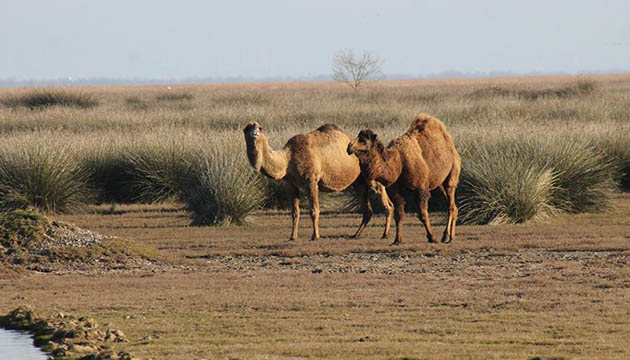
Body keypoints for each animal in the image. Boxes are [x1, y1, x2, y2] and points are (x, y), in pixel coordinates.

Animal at [243, 121, 396, 242]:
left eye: (260, 128)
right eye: (246, 128)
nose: (254, 134)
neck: (288, 158)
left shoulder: (311, 180)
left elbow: (314, 210)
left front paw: (315, 236)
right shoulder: (291, 184)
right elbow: (295, 212)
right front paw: (293, 237)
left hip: (372, 177)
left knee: (387, 203)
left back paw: (385, 234)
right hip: (359, 183)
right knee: (367, 210)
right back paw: (356, 235)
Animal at [348, 114, 462, 246]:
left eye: (363, 140)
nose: (349, 147)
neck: (398, 162)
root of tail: (452, 147)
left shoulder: (421, 188)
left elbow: (422, 214)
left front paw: (432, 237)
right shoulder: (395, 190)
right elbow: (399, 215)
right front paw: (397, 240)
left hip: (452, 174)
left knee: (451, 204)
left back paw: (448, 236)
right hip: (440, 184)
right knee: (454, 206)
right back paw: (448, 235)